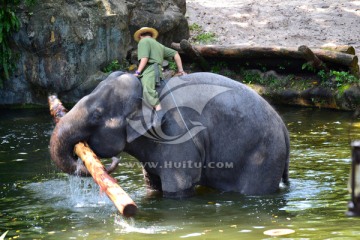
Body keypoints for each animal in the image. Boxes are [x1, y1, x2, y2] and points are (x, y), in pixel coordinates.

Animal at [50, 71, 290, 199]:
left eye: (97, 114)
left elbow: (178, 187)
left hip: (263, 157)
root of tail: (283, 127)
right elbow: (152, 184)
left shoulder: (177, 134)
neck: (150, 90)